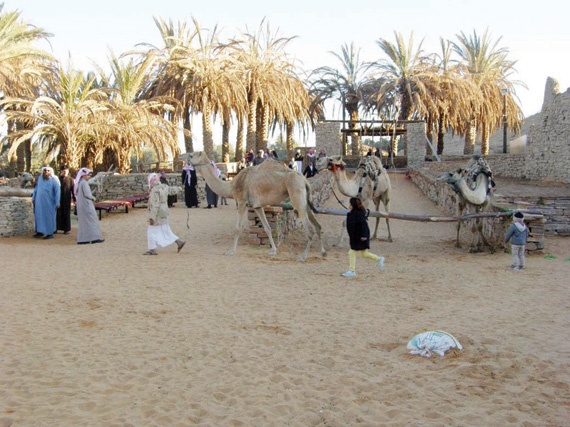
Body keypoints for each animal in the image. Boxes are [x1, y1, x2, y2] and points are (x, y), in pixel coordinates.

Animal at [185, 152, 324, 262]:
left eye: (191, 155)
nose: (183, 156)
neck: (231, 186)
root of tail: (304, 180)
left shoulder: (241, 201)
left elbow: (238, 228)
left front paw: (230, 251)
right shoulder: (257, 206)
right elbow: (267, 228)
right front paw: (273, 251)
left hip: (297, 195)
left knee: (310, 230)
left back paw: (303, 257)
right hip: (305, 200)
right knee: (318, 225)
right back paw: (323, 252)